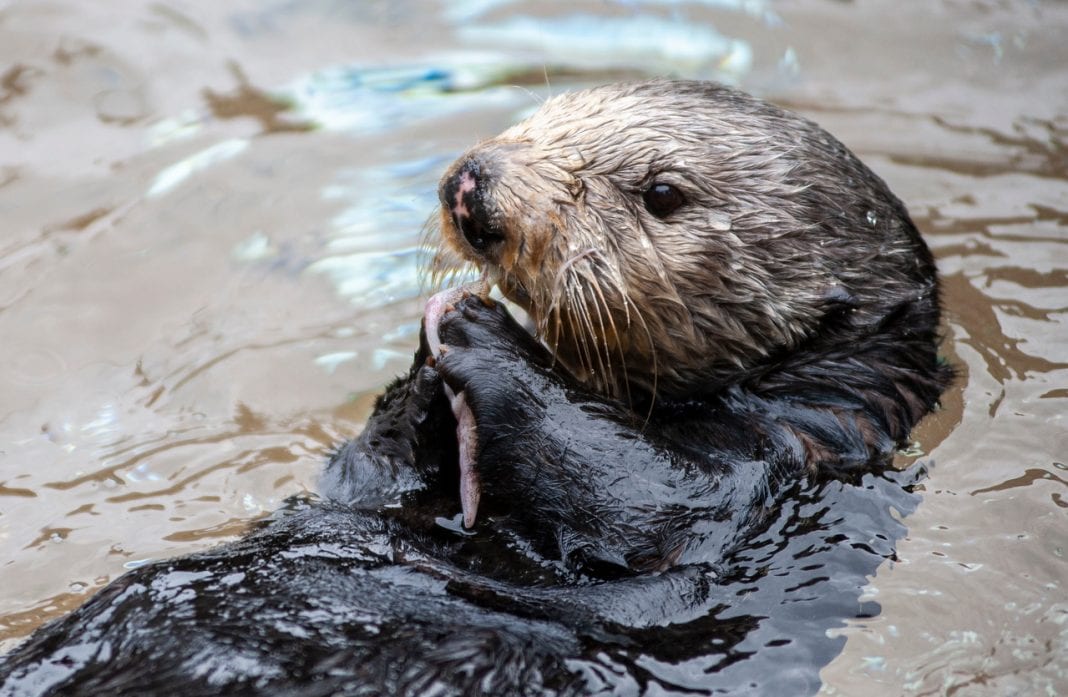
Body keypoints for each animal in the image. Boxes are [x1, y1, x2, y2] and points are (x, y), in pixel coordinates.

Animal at [0, 80, 952, 691]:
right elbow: (364, 476)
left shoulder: (776, 463)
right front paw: (425, 380)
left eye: (661, 192)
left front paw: (482, 334)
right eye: (546, 115)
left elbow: (645, 497)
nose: (474, 181)